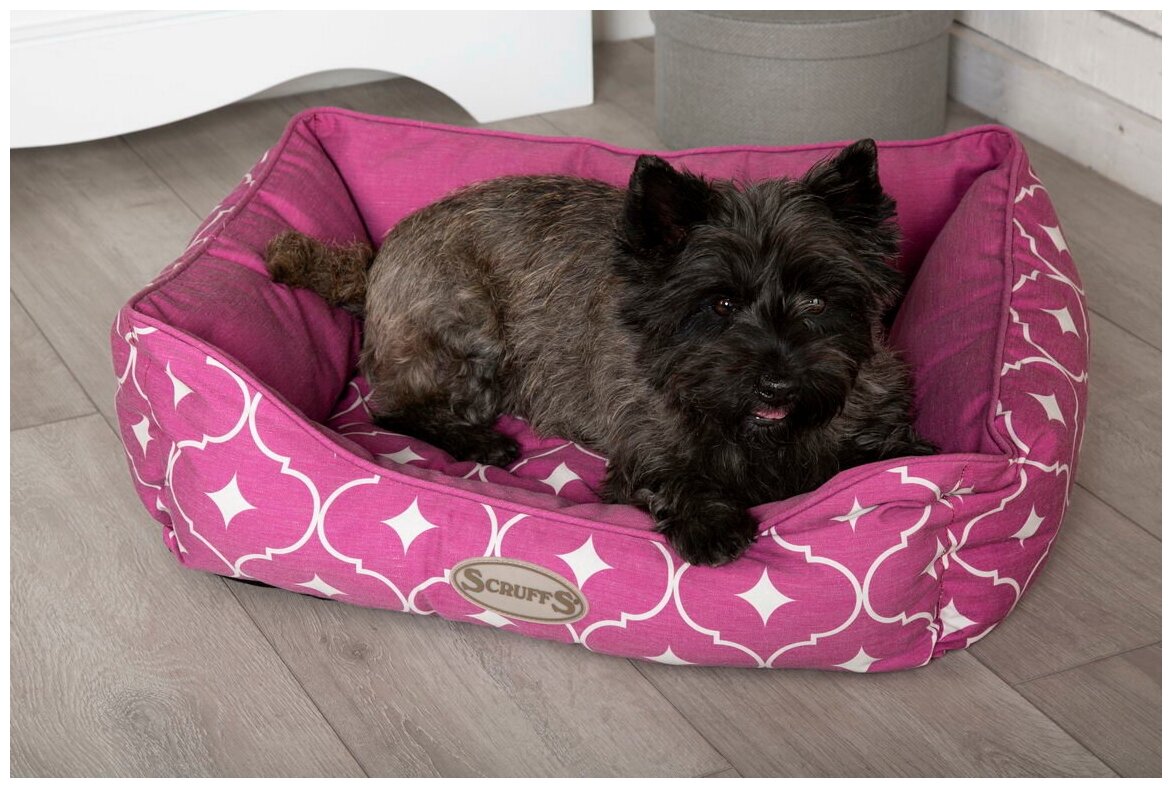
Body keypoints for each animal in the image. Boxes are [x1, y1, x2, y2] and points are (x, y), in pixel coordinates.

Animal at [264, 139, 935, 566]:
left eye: (818, 301)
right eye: (719, 304)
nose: (778, 384)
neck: (762, 436)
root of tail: (376, 259)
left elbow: (884, 449)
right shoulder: (641, 441)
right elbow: (672, 474)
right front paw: (712, 522)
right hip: (470, 334)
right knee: (392, 408)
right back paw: (481, 443)